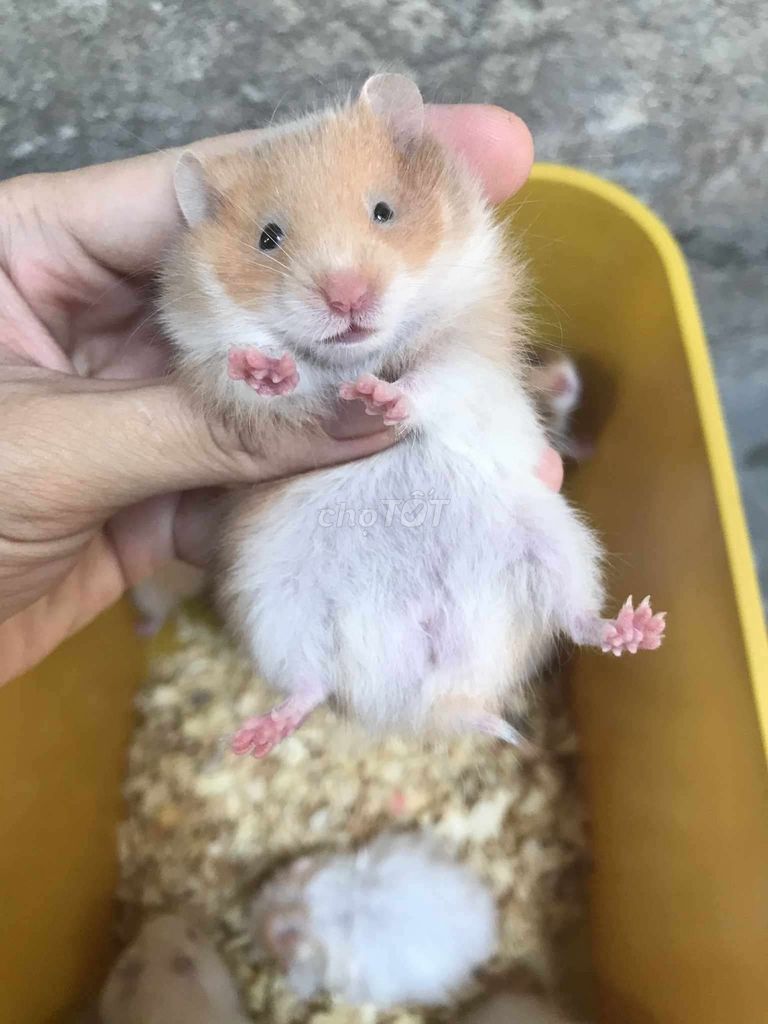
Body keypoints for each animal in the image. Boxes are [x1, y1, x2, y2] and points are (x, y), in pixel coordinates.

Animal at [161, 73, 665, 757]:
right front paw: (272, 370)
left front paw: (380, 399)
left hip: (553, 543)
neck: (362, 354)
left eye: (383, 212)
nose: (347, 296)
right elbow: (282, 384)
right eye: (268, 238)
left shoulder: (471, 347)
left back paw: (638, 629)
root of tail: (422, 695)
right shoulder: (211, 363)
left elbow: (433, 378)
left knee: (576, 617)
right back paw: (256, 738)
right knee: (310, 684)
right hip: (278, 604)